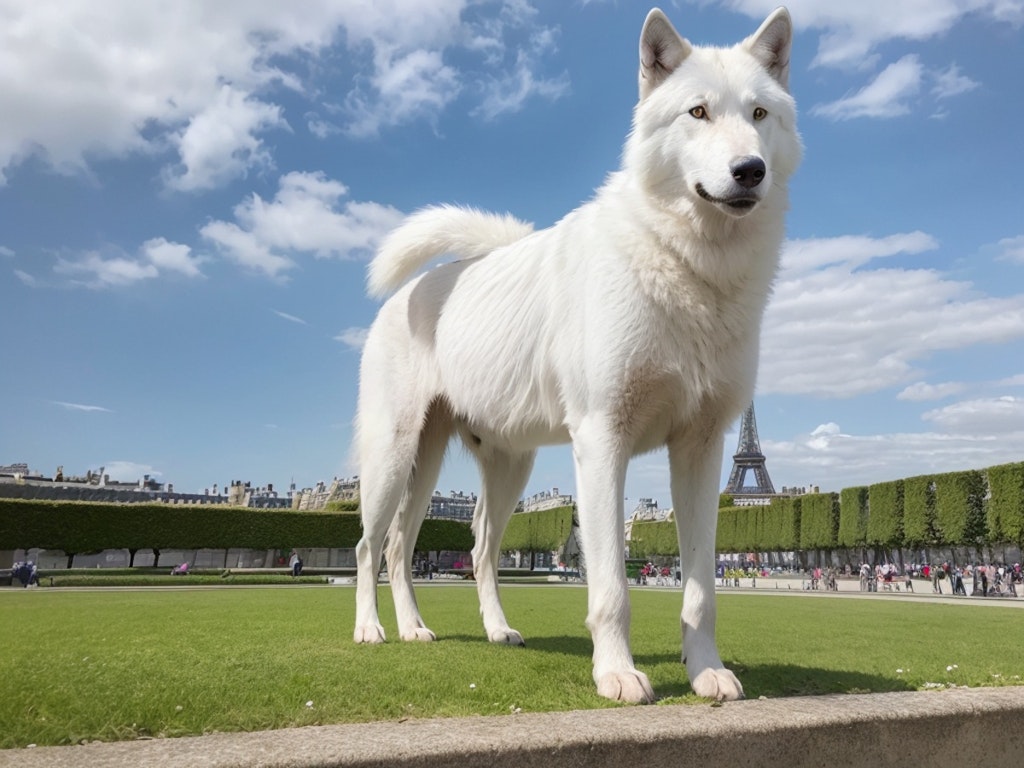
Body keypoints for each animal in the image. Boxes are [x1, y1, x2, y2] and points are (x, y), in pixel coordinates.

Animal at [352, 6, 798, 708]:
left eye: (759, 113)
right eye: (697, 112)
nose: (750, 169)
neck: (687, 266)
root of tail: (417, 289)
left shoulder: (702, 451)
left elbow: (702, 589)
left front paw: (705, 671)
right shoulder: (603, 439)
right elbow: (610, 582)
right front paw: (616, 673)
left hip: (497, 463)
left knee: (456, 548)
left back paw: (459, 629)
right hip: (392, 455)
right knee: (372, 545)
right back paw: (373, 630)